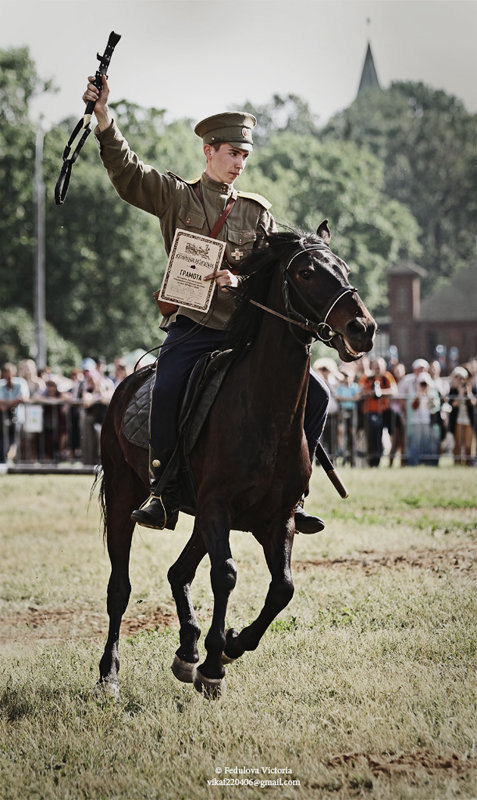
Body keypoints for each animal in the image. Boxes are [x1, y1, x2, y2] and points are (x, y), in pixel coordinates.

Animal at [96, 222, 376, 696]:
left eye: (343, 267)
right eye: (306, 272)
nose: (363, 328)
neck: (265, 412)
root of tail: (126, 385)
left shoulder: (276, 518)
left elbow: (282, 588)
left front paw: (229, 644)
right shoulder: (217, 508)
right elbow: (225, 576)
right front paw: (213, 665)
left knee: (178, 573)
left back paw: (187, 649)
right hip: (123, 498)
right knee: (120, 587)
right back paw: (109, 673)